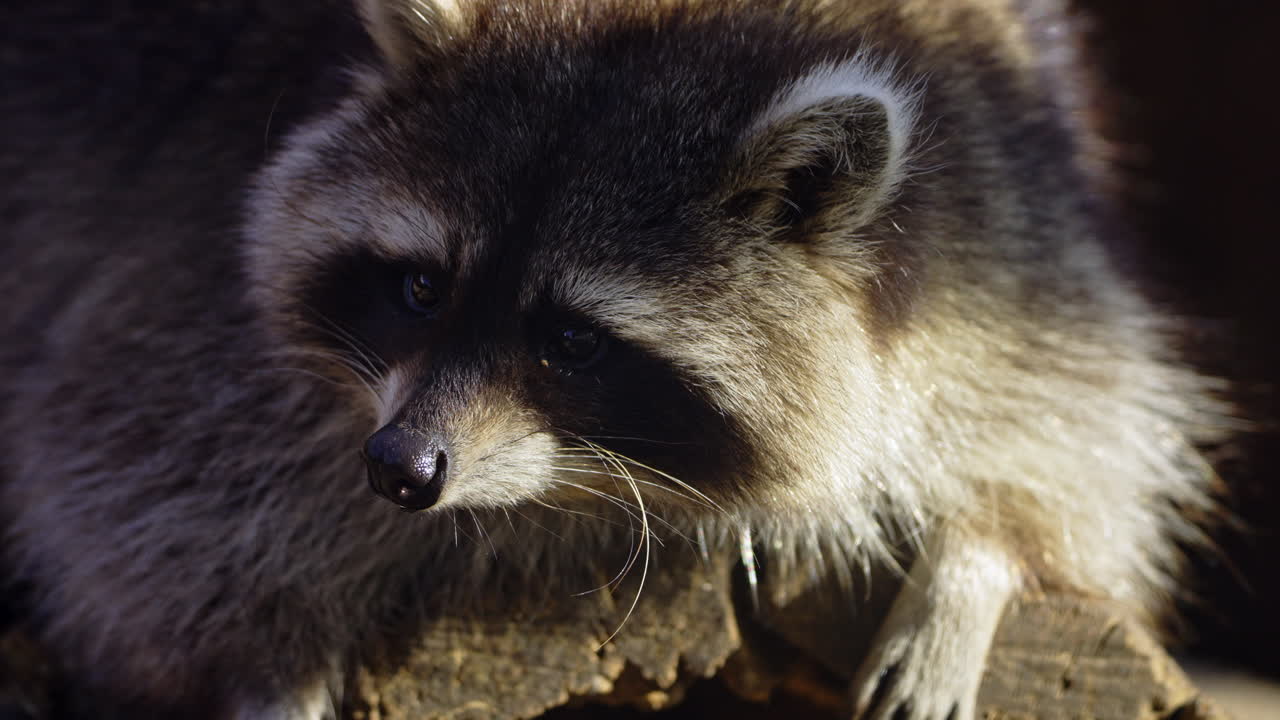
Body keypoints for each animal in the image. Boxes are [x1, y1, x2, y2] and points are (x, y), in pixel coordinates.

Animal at [0, 0, 1226, 718]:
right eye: (420, 288)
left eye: (571, 340)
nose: (401, 469)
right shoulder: (189, 260)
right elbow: (126, 464)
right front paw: (259, 665)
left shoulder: (1008, 211)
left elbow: (1081, 423)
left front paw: (976, 559)